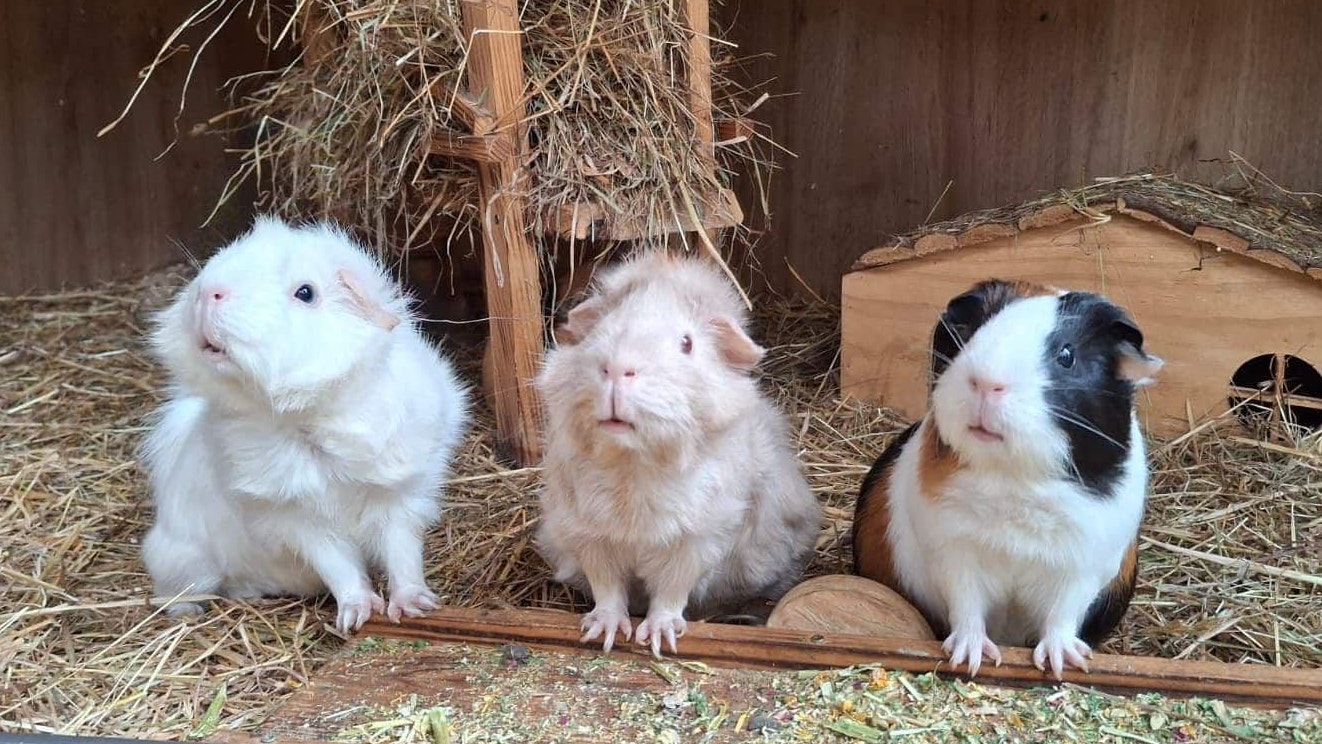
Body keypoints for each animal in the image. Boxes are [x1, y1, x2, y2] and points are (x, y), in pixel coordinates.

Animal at [139, 215, 469, 634]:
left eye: (306, 292)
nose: (208, 291)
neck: (309, 418)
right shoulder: (296, 518)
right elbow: (341, 569)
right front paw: (356, 616)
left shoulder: (400, 496)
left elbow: (403, 554)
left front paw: (414, 607)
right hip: (181, 561)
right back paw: (190, 611)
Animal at [534, 250, 822, 658]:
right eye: (603, 329)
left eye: (687, 342)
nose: (617, 369)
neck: (633, 466)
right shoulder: (588, 536)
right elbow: (608, 589)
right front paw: (603, 634)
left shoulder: (694, 541)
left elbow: (670, 593)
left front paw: (658, 639)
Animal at [852, 279, 1163, 680]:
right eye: (972, 335)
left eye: (1066, 355)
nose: (986, 382)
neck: (1013, 478)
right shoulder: (953, 552)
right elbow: (967, 608)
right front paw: (969, 658)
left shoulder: (1082, 567)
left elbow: (1061, 617)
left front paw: (1062, 664)